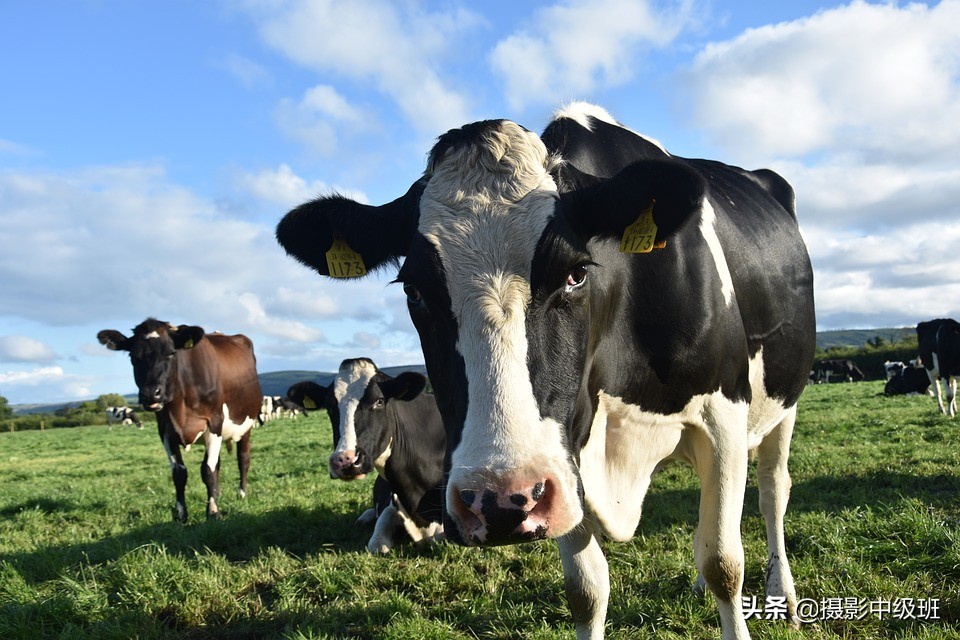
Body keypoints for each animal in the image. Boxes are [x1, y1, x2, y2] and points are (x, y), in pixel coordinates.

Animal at [98, 318, 262, 524]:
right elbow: (179, 473)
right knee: (218, 463)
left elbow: (207, 470)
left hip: (246, 425)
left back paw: (241, 493)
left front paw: (213, 512)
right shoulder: (165, 430)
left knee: (243, 458)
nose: (151, 394)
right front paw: (180, 514)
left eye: (171, 353)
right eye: (133, 357)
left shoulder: (214, 423)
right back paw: (217, 493)